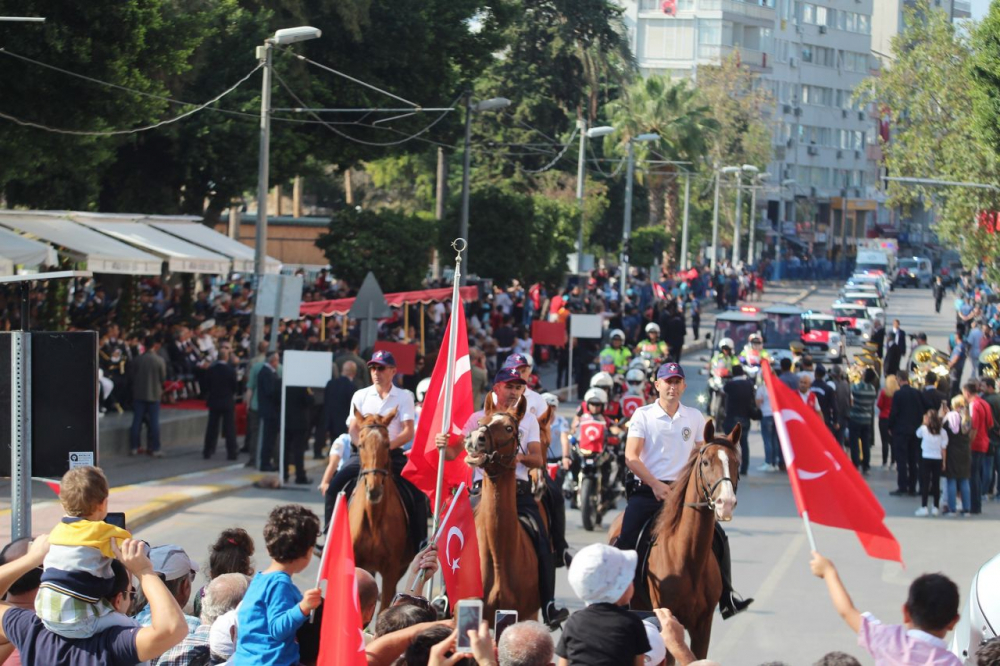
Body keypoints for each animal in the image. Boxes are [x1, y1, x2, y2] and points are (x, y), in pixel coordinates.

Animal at [604, 420, 740, 660]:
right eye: (706, 462)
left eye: (736, 463)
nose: (726, 503)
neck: (688, 558)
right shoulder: (667, 622)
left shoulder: (703, 626)